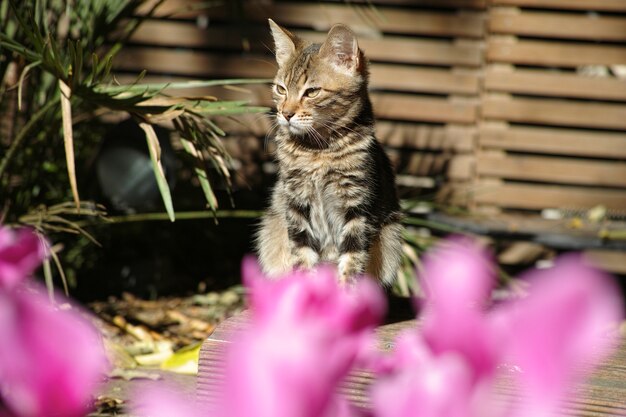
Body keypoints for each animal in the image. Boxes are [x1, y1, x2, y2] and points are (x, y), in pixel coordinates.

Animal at [255, 19, 404, 286]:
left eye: (312, 92)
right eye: (281, 89)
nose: (286, 113)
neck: (318, 151)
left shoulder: (357, 206)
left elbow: (352, 259)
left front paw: (346, 291)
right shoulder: (296, 202)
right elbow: (302, 255)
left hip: (391, 237)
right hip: (271, 229)